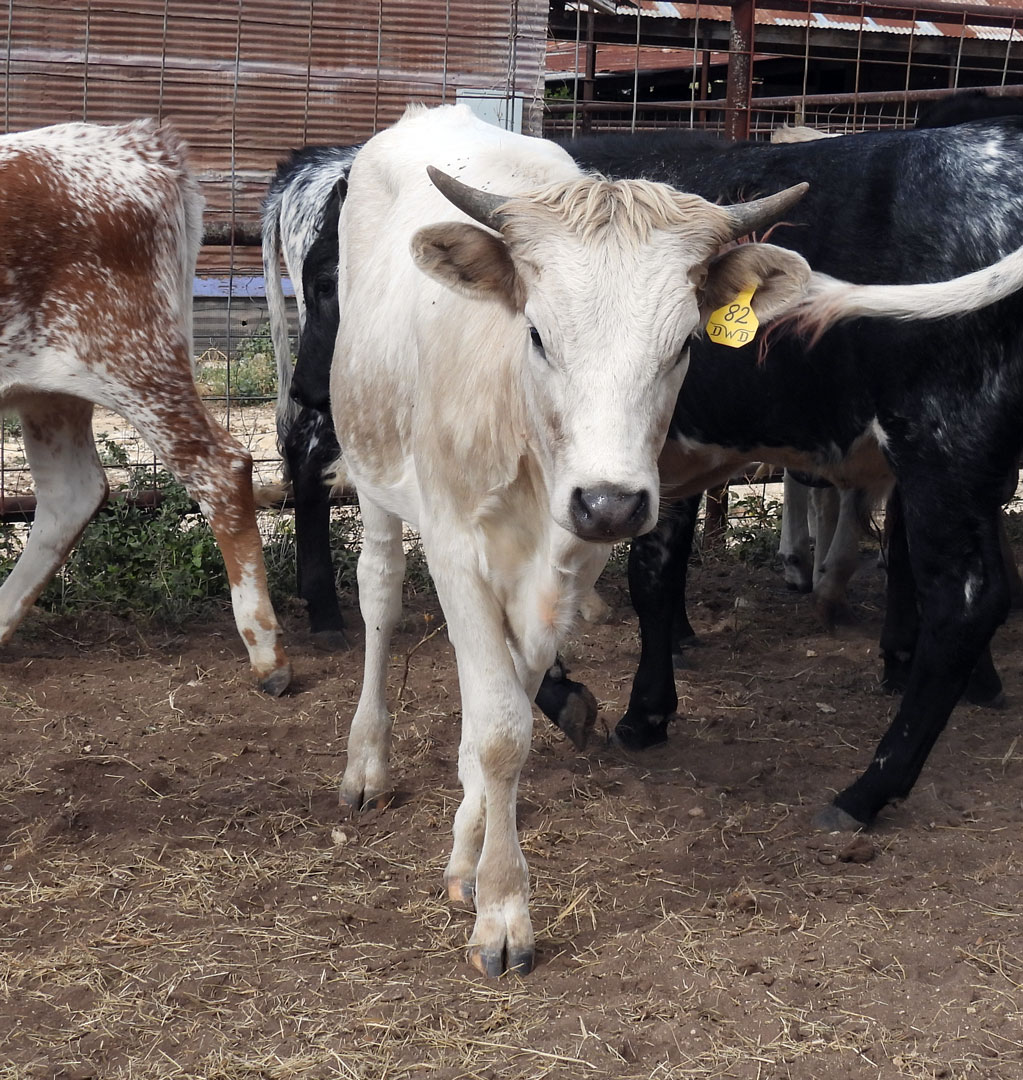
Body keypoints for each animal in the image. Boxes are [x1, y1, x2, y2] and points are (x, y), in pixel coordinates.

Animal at [0, 118, 289, 691]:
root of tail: (137, 141)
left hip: (134, 361)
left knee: (220, 468)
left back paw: (267, 653)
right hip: (51, 388)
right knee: (72, 492)